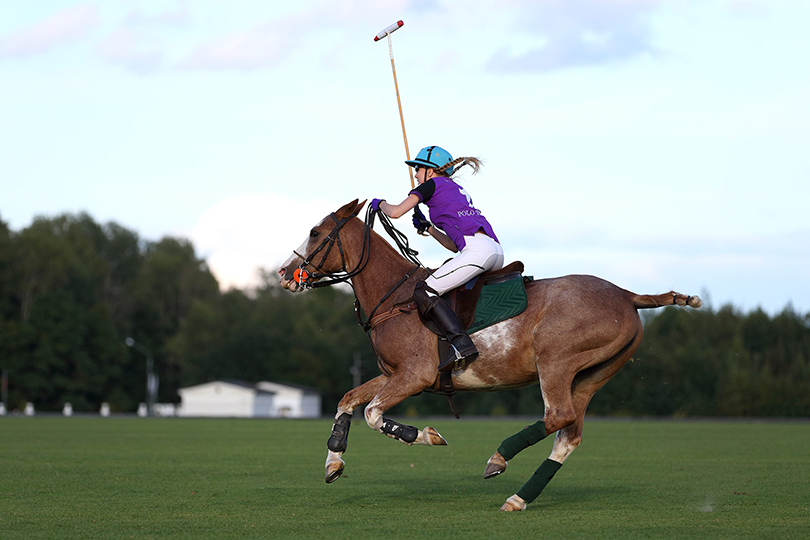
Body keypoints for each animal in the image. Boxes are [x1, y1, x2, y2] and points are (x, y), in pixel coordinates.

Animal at [274, 200, 696, 512]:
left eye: (315, 233)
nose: (284, 272)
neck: (395, 298)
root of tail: (628, 295)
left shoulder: (415, 375)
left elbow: (373, 414)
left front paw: (425, 435)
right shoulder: (393, 373)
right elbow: (348, 400)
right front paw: (334, 463)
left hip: (556, 361)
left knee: (558, 417)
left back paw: (499, 458)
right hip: (593, 375)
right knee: (569, 434)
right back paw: (519, 498)